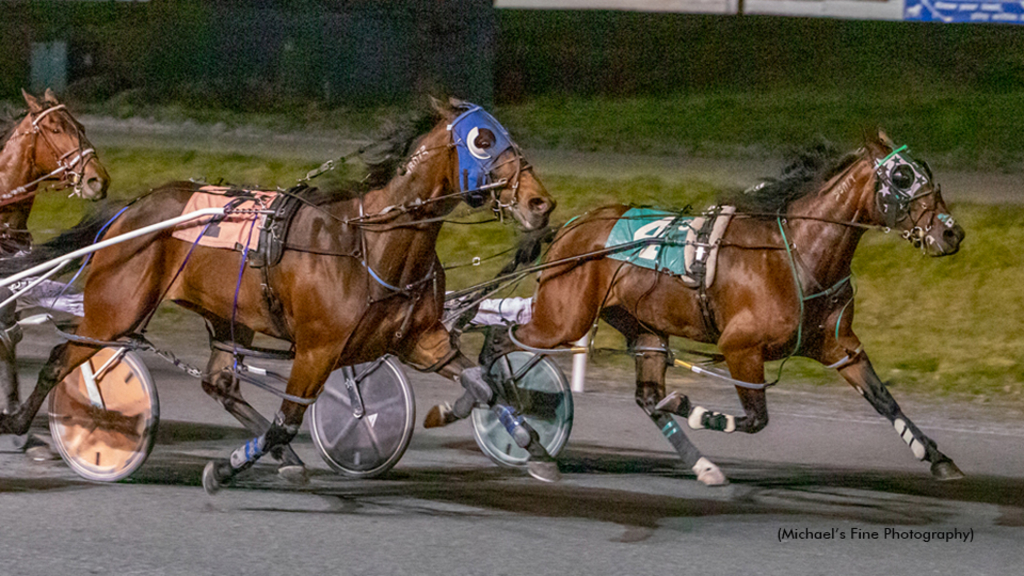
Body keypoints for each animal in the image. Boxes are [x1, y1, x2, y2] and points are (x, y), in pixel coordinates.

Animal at [430, 130, 966, 483]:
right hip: (562, 316)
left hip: (642, 328)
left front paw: (939, 459)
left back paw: (703, 465)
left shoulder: (839, 346)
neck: (795, 252)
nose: (952, 233)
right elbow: (754, 419)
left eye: (927, 173)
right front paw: (688, 406)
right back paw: (491, 407)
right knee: (498, 339)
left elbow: (884, 398)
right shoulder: (740, 347)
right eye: (902, 176)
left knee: (645, 395)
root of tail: (575, 226)